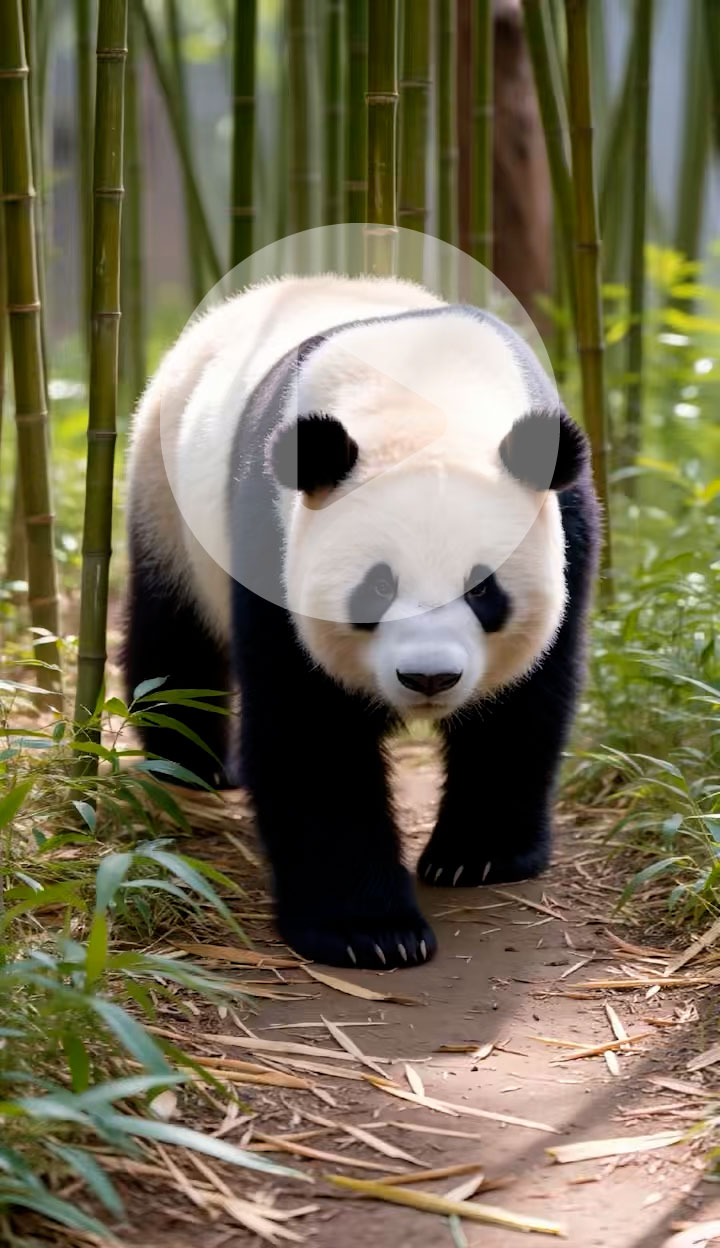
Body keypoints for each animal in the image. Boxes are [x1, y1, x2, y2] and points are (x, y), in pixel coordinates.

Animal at [125, 274, 599, 970]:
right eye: (377, 586)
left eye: (482, 589)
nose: (428, 678)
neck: (425, 395)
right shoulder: (272, 533)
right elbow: (311, 729)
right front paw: (368, 931)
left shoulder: (566, 525)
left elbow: (526, 700)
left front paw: (479, 856)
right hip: (166, 497)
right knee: (172, 635)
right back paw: (193, 762)